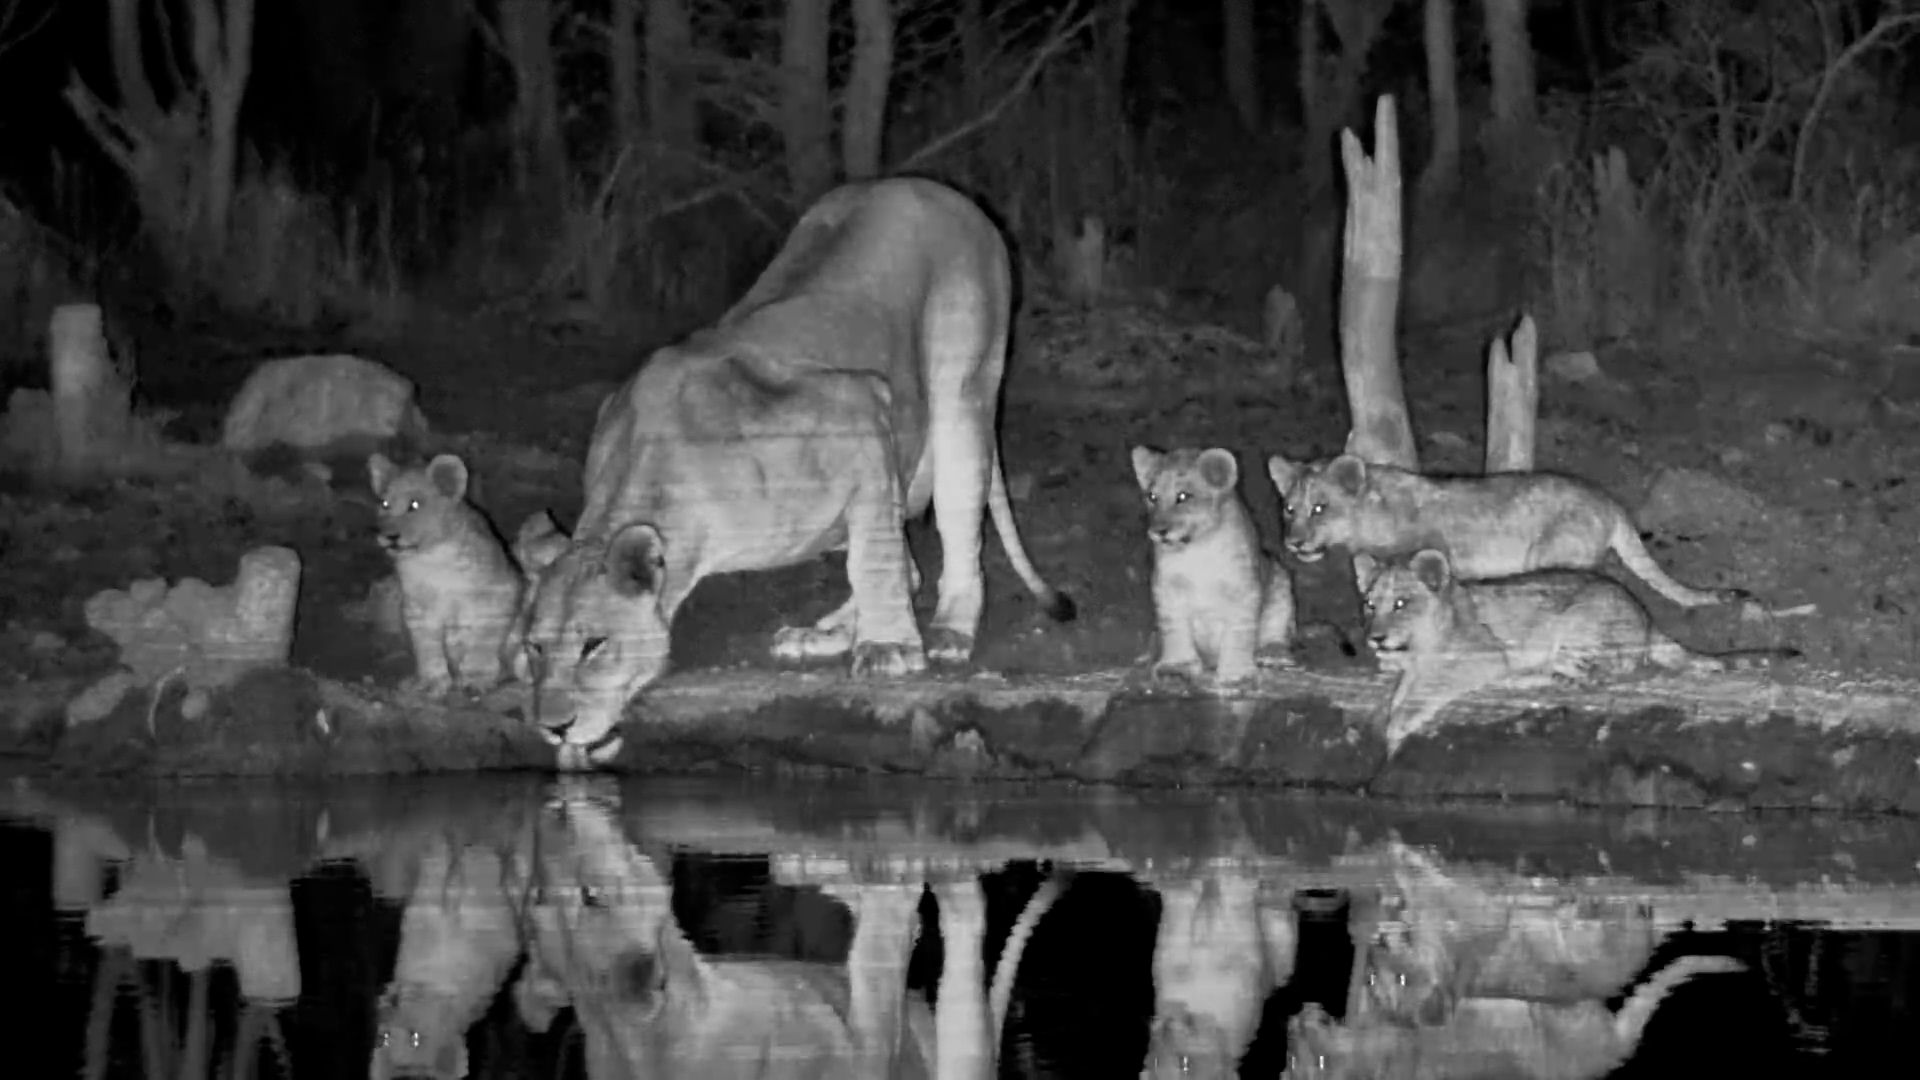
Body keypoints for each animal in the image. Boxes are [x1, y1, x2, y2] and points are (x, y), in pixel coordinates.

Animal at [368, 452, 524, 697]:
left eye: (414, 505)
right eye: (384, 504)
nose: (389, 536)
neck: (432, 559)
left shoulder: (500, 594)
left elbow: (484, 639)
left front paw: (477, 678)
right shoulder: (417, 608)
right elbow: (427, 647)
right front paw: (433, 682)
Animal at [517, 177, 1076, 766]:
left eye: (593, 645)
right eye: (535, 648)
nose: (554, 727)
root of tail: (936, 189)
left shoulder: (859, 406)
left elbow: (875, 563)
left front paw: (890, 647)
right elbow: (881, 558)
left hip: (960, 390)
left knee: (954, 524)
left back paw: (949, 631)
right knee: (901, 557)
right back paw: (821, 634)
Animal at [1130, 445, 1297, 687]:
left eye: (1183, 496)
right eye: (1152, 496)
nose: (1158, 532)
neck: (1196, 550)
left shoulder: (1243, 589)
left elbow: (1238, 631)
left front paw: (1236, 674)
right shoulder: (1167, 588)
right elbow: (1174, 629)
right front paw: (1176, 666)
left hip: (1280, 577)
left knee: (1277, 628)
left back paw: (1273, 653)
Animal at [1363, 549, 1798, 752]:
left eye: (1401, 603)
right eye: (1370, 604)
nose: (1374, 638)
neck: (1420, 643)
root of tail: (1646, 617)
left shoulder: (1481, 658)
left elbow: (1426, 691)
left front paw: (1397, 724)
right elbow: (1405, 688)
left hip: (1576, 618)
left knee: (1618, 669)